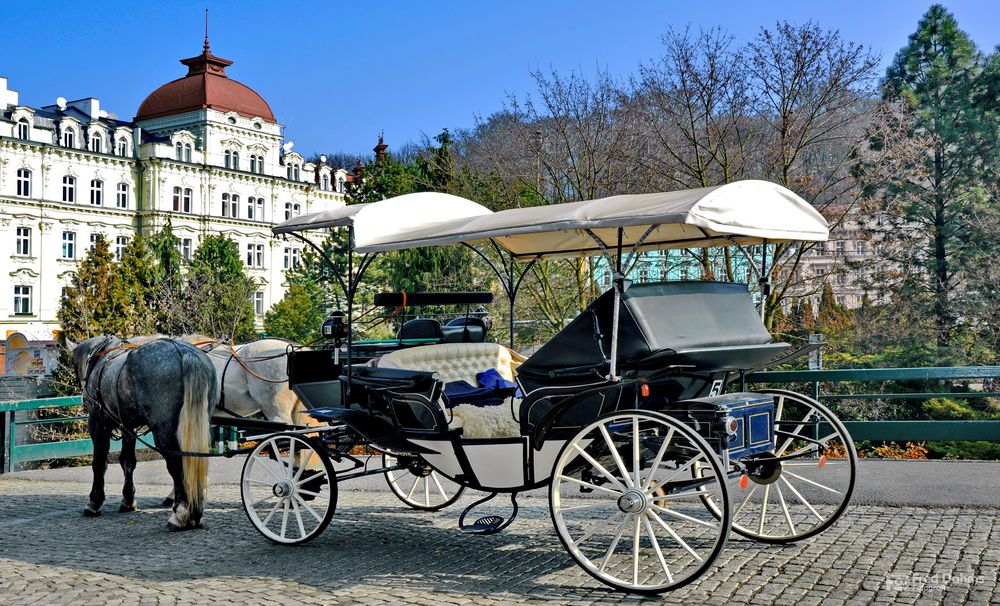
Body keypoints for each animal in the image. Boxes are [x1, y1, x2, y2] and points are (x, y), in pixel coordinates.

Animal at [72, 338, 219, 532]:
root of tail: (184, 351)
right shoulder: (128, 427)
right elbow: (127, 462)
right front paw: (128, 500)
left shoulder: (97, 423)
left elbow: (99, 464)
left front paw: (94, 503)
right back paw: (195, 513)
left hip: (164, 431)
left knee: (176, 464)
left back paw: (180, 514)